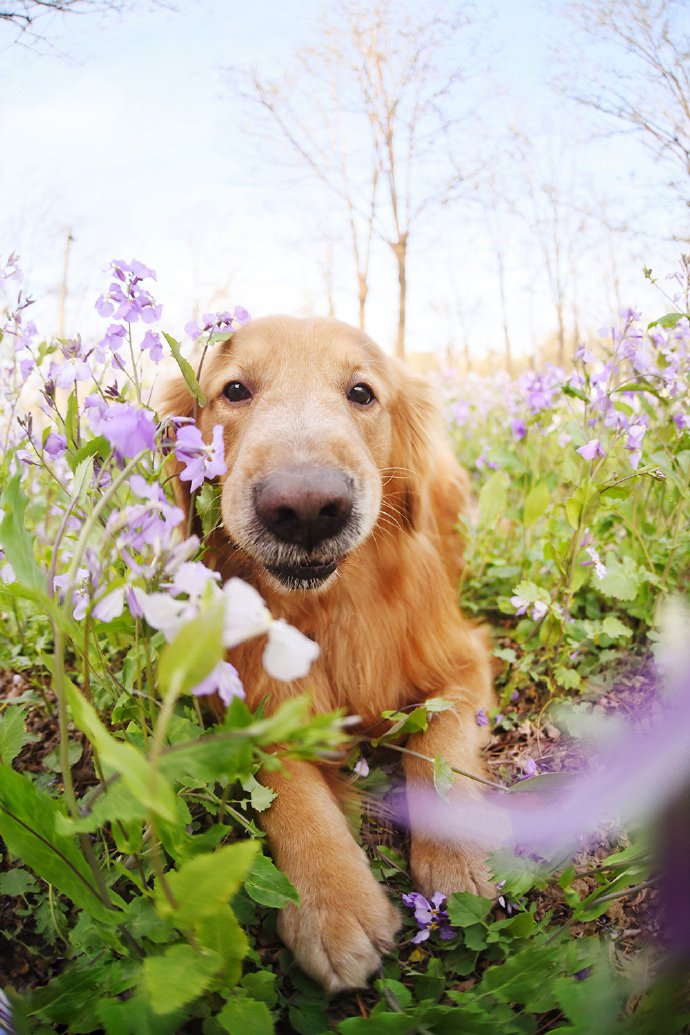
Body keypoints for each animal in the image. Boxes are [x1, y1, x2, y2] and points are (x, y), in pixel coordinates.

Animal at [162, 316, 496, 993]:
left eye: (362, 393)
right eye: (234, 390)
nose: (307, 508)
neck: (328, 611)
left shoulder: (464, 661)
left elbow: (441, 742)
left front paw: (457, 855)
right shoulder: (243, 702)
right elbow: (287, 784)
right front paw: (333, 901)